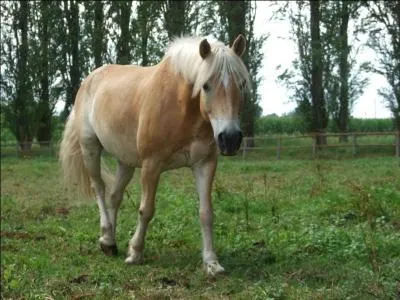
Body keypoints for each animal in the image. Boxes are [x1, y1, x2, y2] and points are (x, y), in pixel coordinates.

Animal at [59, 34, 250, 276]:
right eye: (206, 85)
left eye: (241, 84)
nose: (231, 138)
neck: (181, 107)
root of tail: (89, 79)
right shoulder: (152, 165)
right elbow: (146, 210)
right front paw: (135, 253)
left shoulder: (205, 164)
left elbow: (206, 213)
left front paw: (211, 262)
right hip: (90, 148)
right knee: (100, 190)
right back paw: (106, 237)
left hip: (126, 161)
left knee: (114, 197)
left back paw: (110, 242)